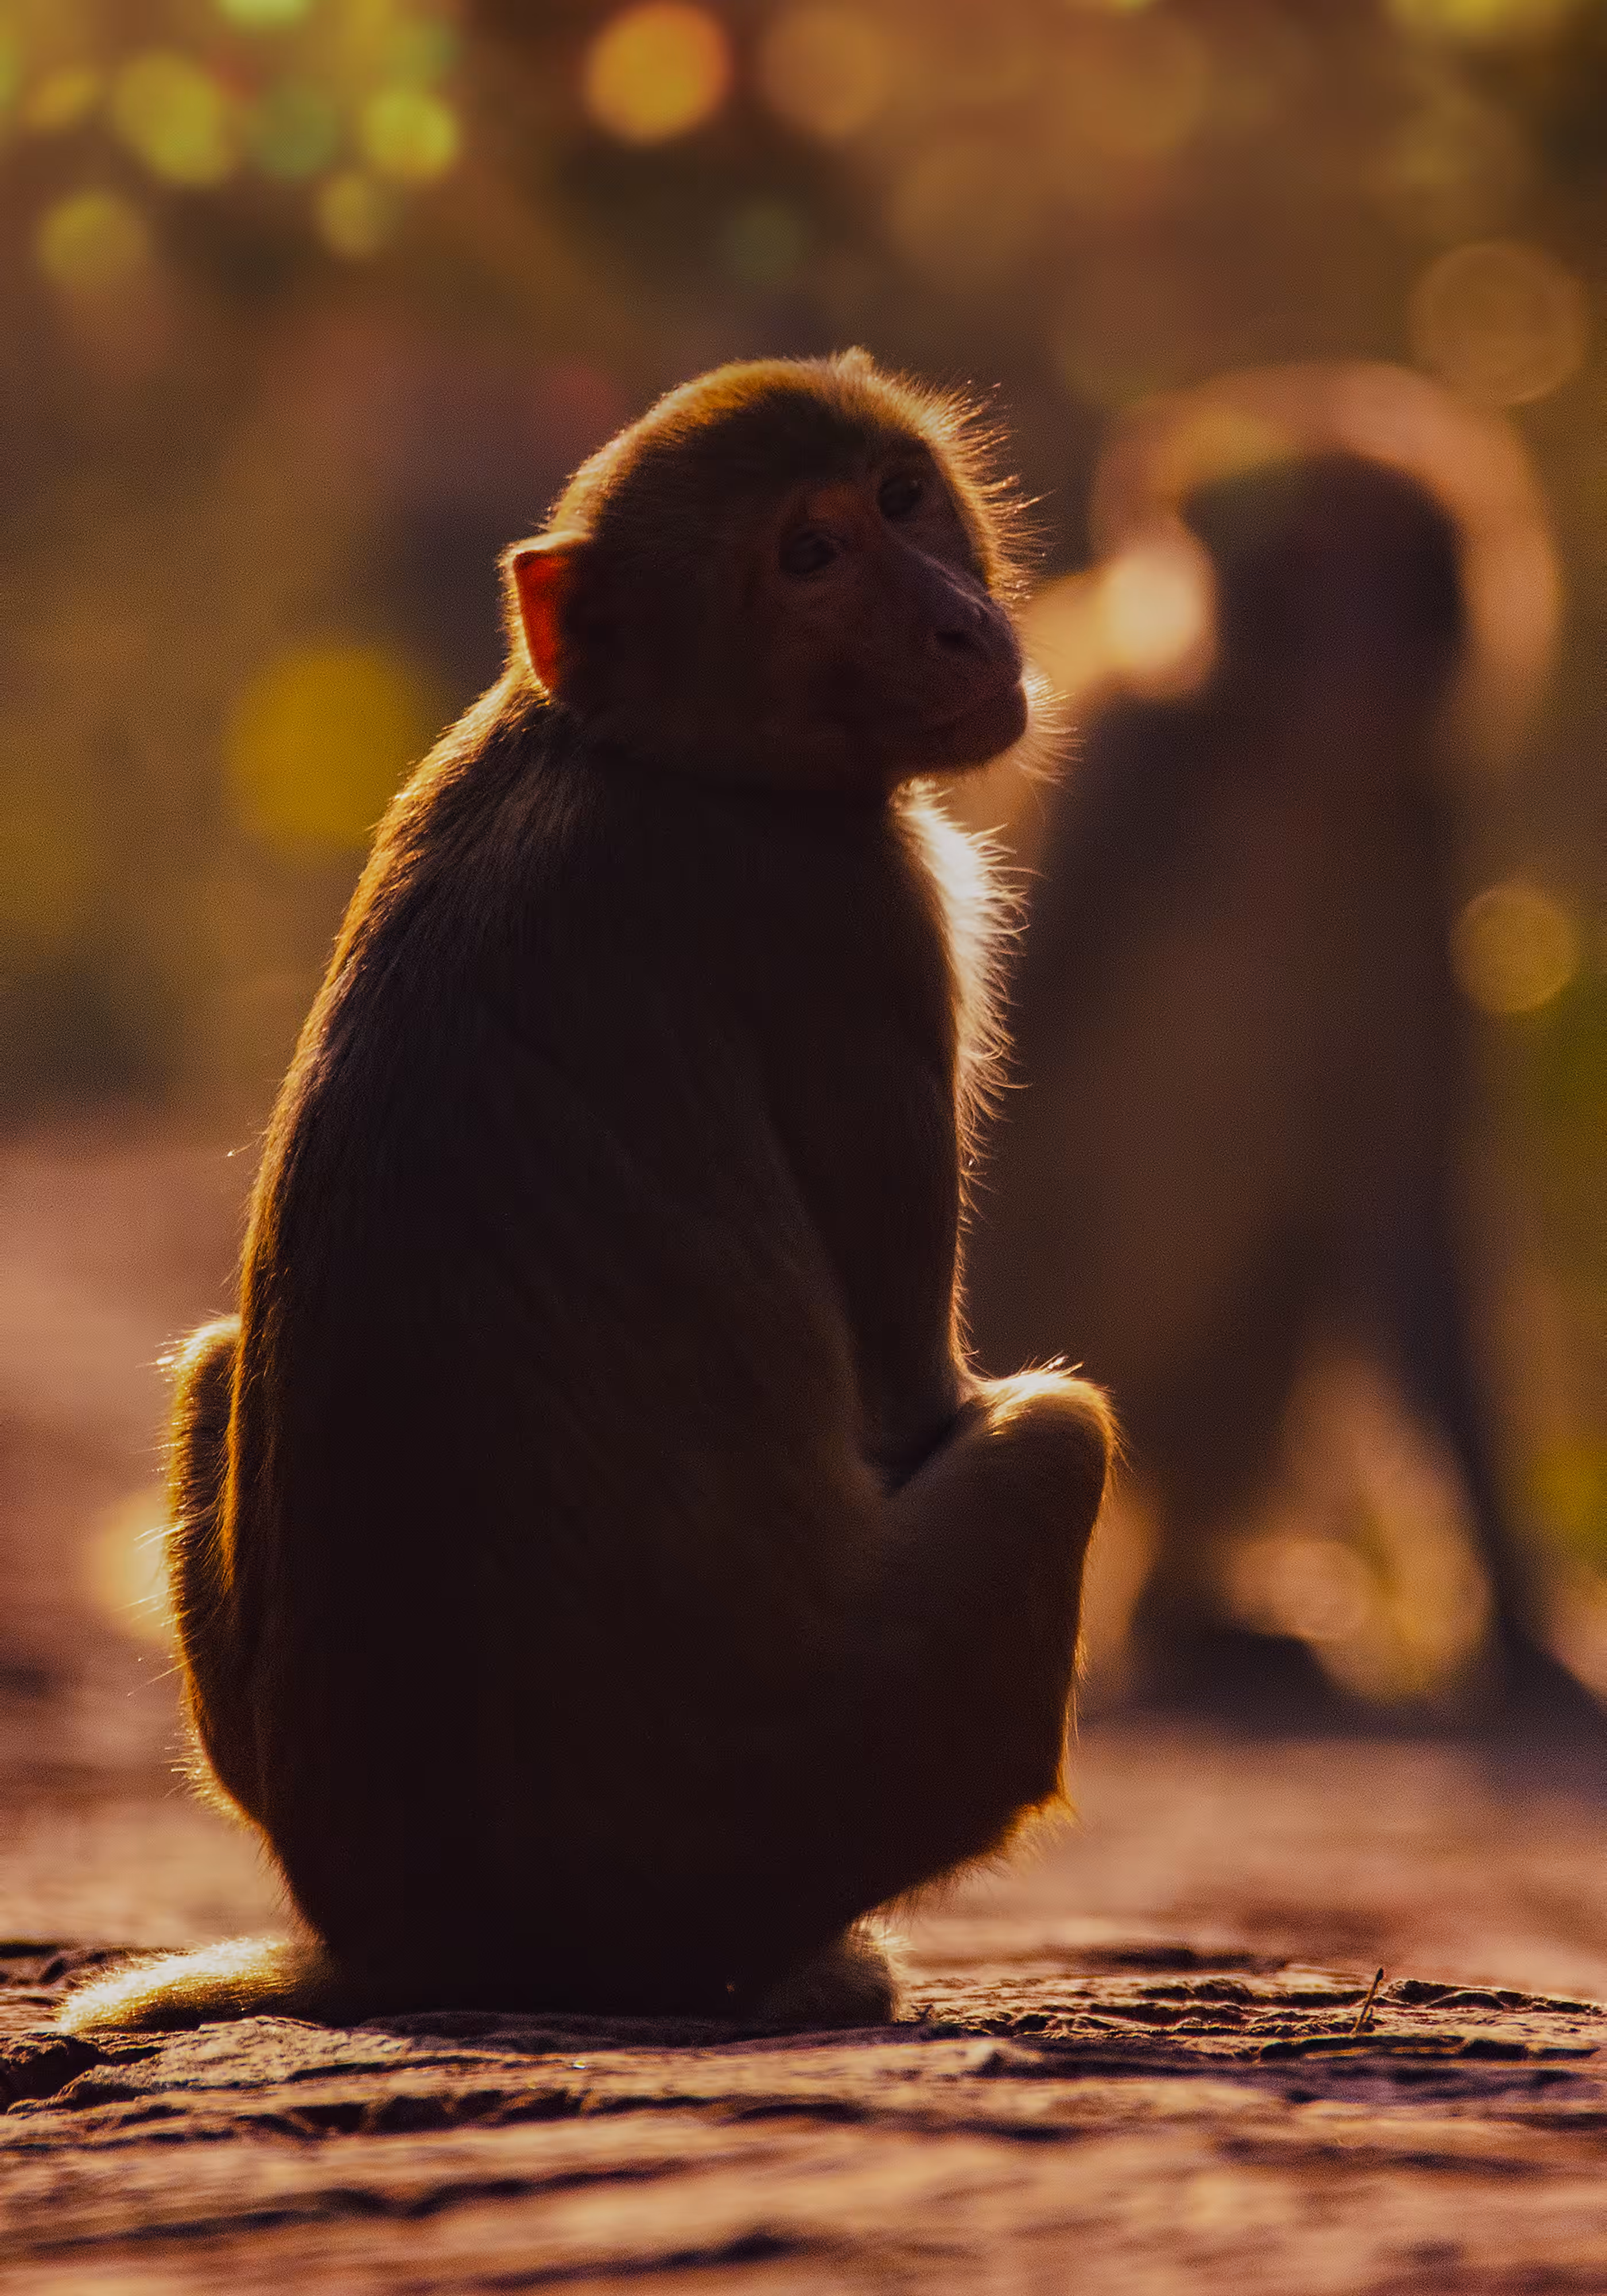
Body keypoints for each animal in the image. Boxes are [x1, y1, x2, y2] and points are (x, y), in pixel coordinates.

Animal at [62, 352, 1112, 2036]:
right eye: (808, 557)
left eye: (902, 501)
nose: (959, 621)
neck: (641, 743)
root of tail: (429, 1942)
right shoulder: (858, 921)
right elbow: (915, 1403)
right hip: (785, 1816)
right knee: (1060, 1437)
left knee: (220, 1355)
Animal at [967, 447, 1597, 1734]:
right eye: (1309, 560)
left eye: (1393, 558)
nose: (1364, 645)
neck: (1279, 781)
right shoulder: (1115, 785)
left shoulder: (1416, 826)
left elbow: (1407, 1203)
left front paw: (1516, 1624)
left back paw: (1194, 1620)